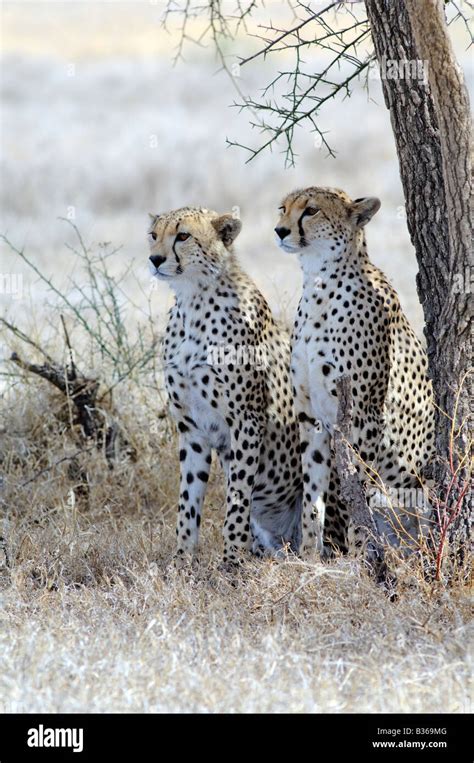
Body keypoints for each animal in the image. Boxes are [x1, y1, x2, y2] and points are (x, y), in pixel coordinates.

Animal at [148, 206, 302, 564]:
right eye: (154, 235)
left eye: (183, 236)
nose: (155, 259)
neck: (193, 301)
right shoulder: (191, 426)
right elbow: (187, 500)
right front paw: (183, 559)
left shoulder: (247, 419)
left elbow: (238, 494)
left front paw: (232, 559)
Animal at [276, 185, 436, 556]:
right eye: (283, 208)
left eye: (311, 211)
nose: (280, 231)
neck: (319, 283)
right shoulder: (311, 414)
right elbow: (313, 494)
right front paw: (309, 555)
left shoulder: (364, 416)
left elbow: (358, 489)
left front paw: (360, 554)